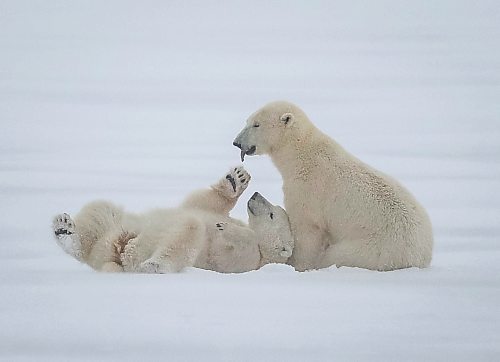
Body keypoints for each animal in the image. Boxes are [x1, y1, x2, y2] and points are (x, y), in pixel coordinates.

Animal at [51, 166, 292, 272]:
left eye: (272, 214)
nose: (256, 195)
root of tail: (114, 256)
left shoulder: (247, 261)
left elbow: (234, 250)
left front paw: (229, 229)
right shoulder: (207, 210)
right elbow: (200, 203)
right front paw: (237, 179)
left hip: (135, 249)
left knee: (188, 230)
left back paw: (152, 263)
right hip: (115, 229)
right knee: (100, 210)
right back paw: (65, 230)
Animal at [234, 101, 434, 272]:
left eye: (257, 125)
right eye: (247, 121)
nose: (236, 142)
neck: (301, 155)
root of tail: (422, 257)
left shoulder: (307, 190)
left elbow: (306, 230)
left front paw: (297, 265)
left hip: (375, 249)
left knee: (336, 256)